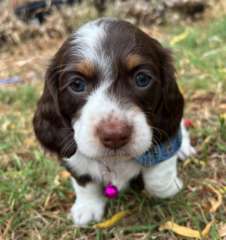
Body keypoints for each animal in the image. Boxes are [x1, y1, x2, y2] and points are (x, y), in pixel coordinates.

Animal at [32, 17, 195, 226]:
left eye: (142, 79)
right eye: (77, 84)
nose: (115, 136)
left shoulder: (162, 140)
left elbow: (158, 177)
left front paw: (170, 188)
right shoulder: (72, 156)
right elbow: (84, 181)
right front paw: (87, 208)